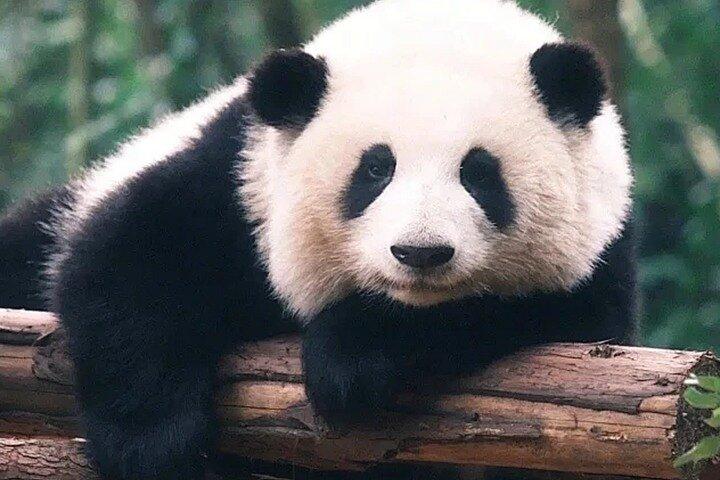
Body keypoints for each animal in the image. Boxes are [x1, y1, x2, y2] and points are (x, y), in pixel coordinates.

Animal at [0, 1, 636, 479]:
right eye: (375, 169)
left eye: (479, 173)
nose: (421, 253)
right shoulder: (239, 183)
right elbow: (131, 264)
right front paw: (155, 450)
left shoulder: (601, 253)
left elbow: (538, 315)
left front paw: (353, 355)